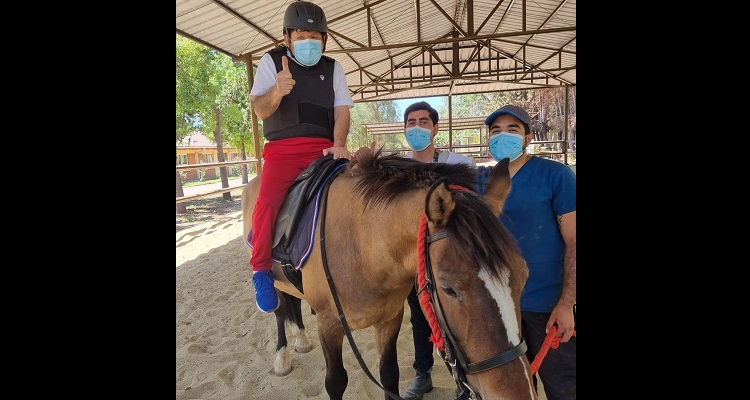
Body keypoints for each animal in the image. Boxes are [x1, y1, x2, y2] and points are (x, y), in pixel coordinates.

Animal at [242, 151, 540, 400]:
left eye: (524, 276)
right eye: (448, 288)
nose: (518, 393)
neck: (362, 244)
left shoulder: (390, 318)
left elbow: (389, 375)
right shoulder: (329, 323)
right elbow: (335, 382)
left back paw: (301, 339)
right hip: (272, 277)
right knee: (280, 309)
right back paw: (282, 356)